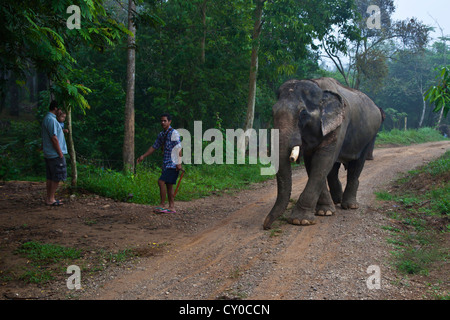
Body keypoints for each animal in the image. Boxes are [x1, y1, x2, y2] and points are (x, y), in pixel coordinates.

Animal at [264, 77, 384, 230]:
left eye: (303, 113)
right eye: (272, 112)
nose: (266, 226)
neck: (318, 86)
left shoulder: (340, 124)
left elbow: (322, 160)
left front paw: (300, 220)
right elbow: (313, 164)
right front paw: (324, 212)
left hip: (369, 137)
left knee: (356, 165)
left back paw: (349, 206)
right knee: (334, 169)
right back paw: (336, 200)